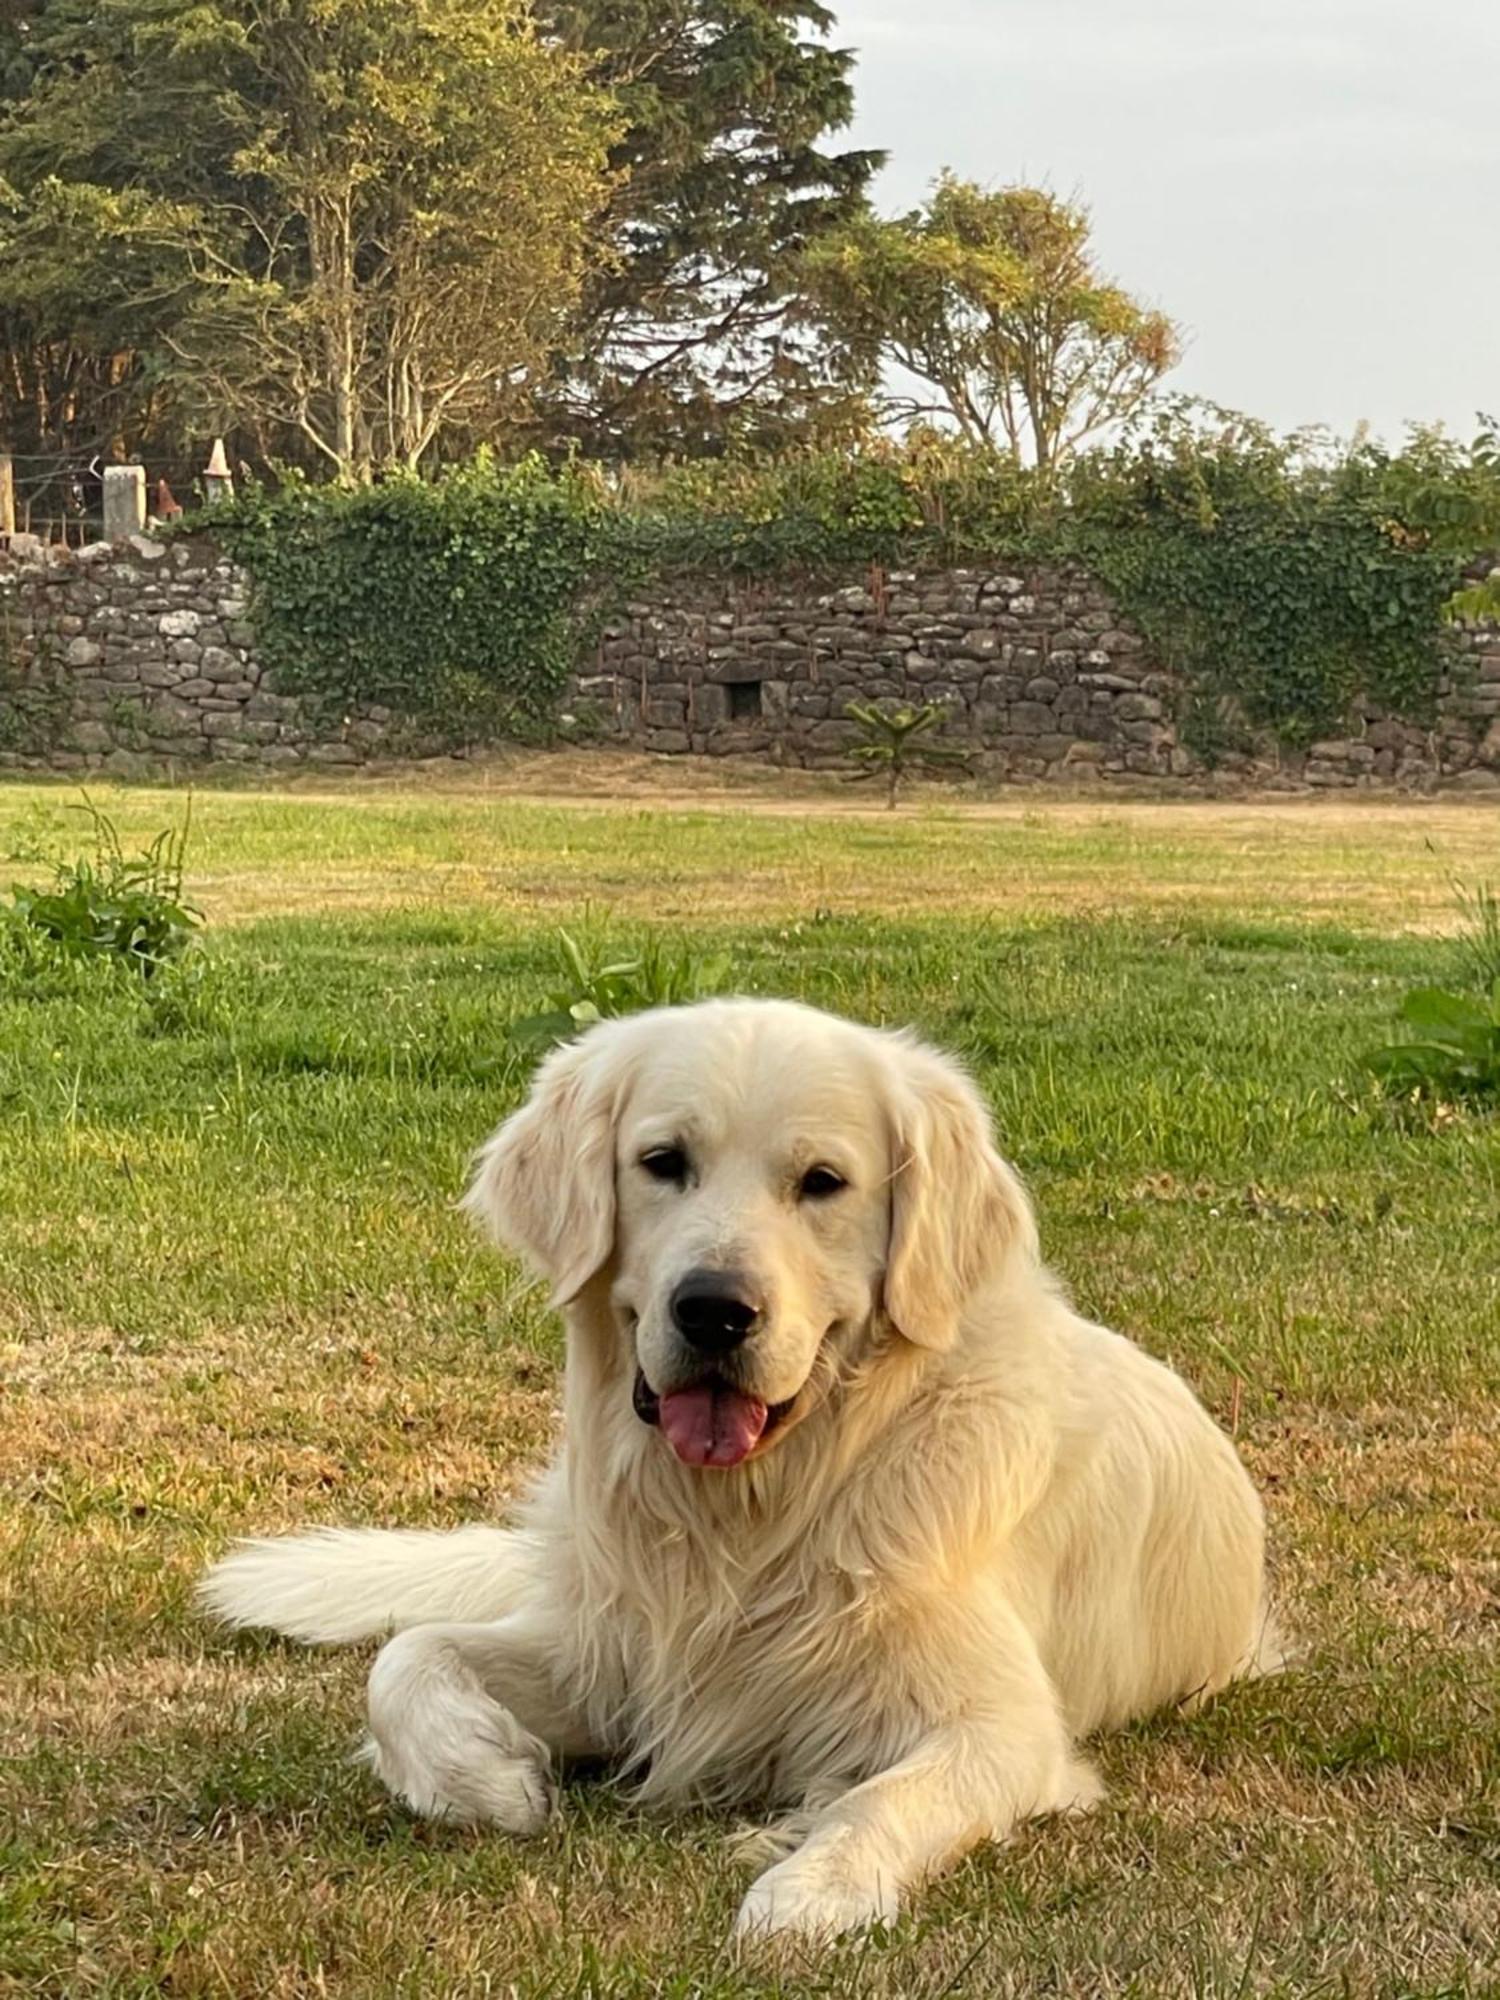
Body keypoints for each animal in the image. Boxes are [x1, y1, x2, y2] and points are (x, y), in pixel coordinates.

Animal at [203, 1000, 1280, 1936]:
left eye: (823, 1181)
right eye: (662, 1163)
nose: (714, 1310)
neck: (755, 1512)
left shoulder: (1001, 1720)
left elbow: (884, 1799)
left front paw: (806, 1894)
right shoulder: (612, 1657)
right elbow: (405, 1658)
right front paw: (490, 1777)